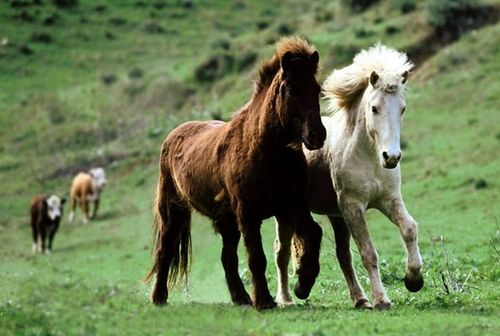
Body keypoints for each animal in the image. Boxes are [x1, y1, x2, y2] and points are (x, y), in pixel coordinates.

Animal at [145, 37, 326, 310]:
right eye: (291, 90)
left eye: (316, 89)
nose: (317, 135)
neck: (264, 150)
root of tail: (174, 134)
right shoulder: (248, 214)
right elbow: (256, 257)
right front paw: (264, 301)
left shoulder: (292, 206)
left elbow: (314, 233)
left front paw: (303, 284)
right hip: (174, 212)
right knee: (164, 250)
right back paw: (159, 298)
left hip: (226, 221)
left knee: (227, 257)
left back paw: (240, 298)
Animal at [276, 44, 424, 310]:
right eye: (374, 108)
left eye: (402, 108)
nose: (391, 157)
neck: (370, 157)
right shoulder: (353, 206)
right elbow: (368, 252)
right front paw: (382, 300)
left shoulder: (389, 200)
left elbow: (410, 228)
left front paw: (413, 279)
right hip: (287, 214)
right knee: (281, 253)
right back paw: (287, 299)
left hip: (336, 217)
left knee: (343, 255)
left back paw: (360, 299)